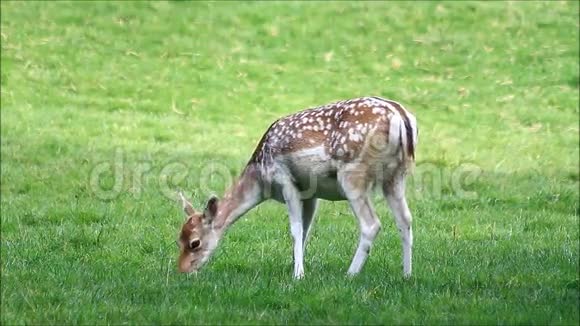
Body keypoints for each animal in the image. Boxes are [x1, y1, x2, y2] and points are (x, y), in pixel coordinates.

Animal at [176, 95, 416, 278]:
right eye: (178, 239)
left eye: (195, 242)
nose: (183, 270)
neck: (261, 179)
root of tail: (400, 118)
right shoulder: (311, 194)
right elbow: (306, 229)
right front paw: (297, 266)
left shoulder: (285, 180)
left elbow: (295, 229)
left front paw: (298, 275)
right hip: (396, 175)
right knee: (405, 219)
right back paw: (406, 274)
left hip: (353, 174)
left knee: (371, 224)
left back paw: (350, 274)